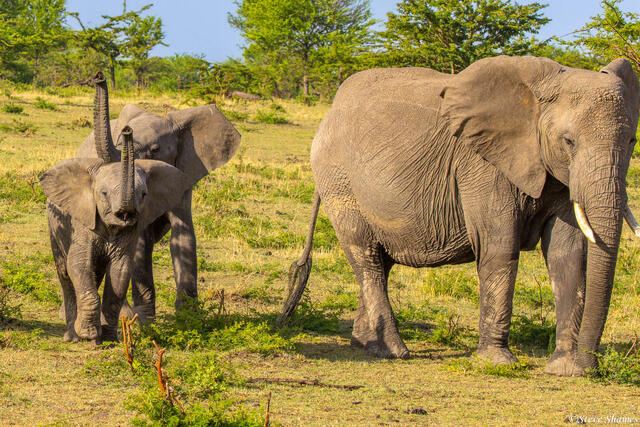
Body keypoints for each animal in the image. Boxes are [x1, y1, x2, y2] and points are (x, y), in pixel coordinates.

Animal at [41, 74, 191, 343]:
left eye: (144, 194)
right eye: (103, 194)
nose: (99, 77)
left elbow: (119, 273)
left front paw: (109, 337)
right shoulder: (83, 222)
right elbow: (78, 265)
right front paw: (89, 335)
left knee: (96, 274)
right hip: (54, 225)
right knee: (65, 273)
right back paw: (71, 336)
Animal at [75, 86, 241, 320]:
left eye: (155, 150)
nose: (127, 131)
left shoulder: (183, 174)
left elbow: (183, 234)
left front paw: (189, 318)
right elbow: (140, 242)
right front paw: (145, 320)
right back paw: (127, 317)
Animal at [278, 56, 640, 377]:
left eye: (632, 140)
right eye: (568, 141)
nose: (590, 365)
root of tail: (329, 113)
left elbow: (568, 255)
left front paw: (565, 370)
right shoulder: (482, 166)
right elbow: (499, 248)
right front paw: (497, 364)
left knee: (380, 262)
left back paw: (364, 344)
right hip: (340, 182)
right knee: (365, 256)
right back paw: (392, 351)